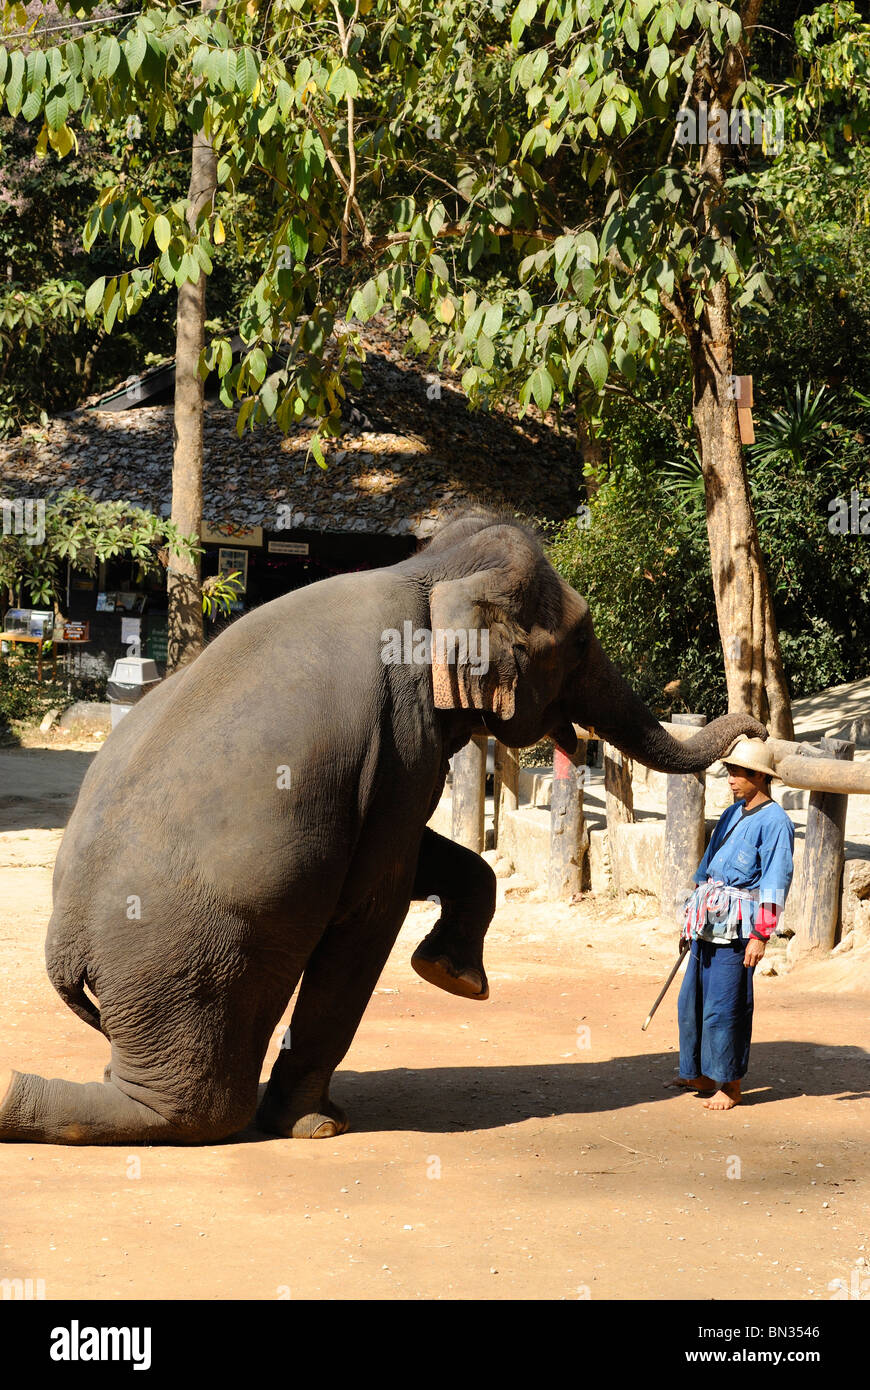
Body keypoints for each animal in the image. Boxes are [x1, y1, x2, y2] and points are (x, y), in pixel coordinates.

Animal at [0, 507, 764, 1145]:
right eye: (580, 642)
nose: (756, 727)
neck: (422, 574)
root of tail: (65, 947)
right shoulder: (400, 733)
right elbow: (373, 900)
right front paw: (317, 1125)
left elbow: (430, 857)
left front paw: (453, 977)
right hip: (187, 965)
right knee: (194, 1109)